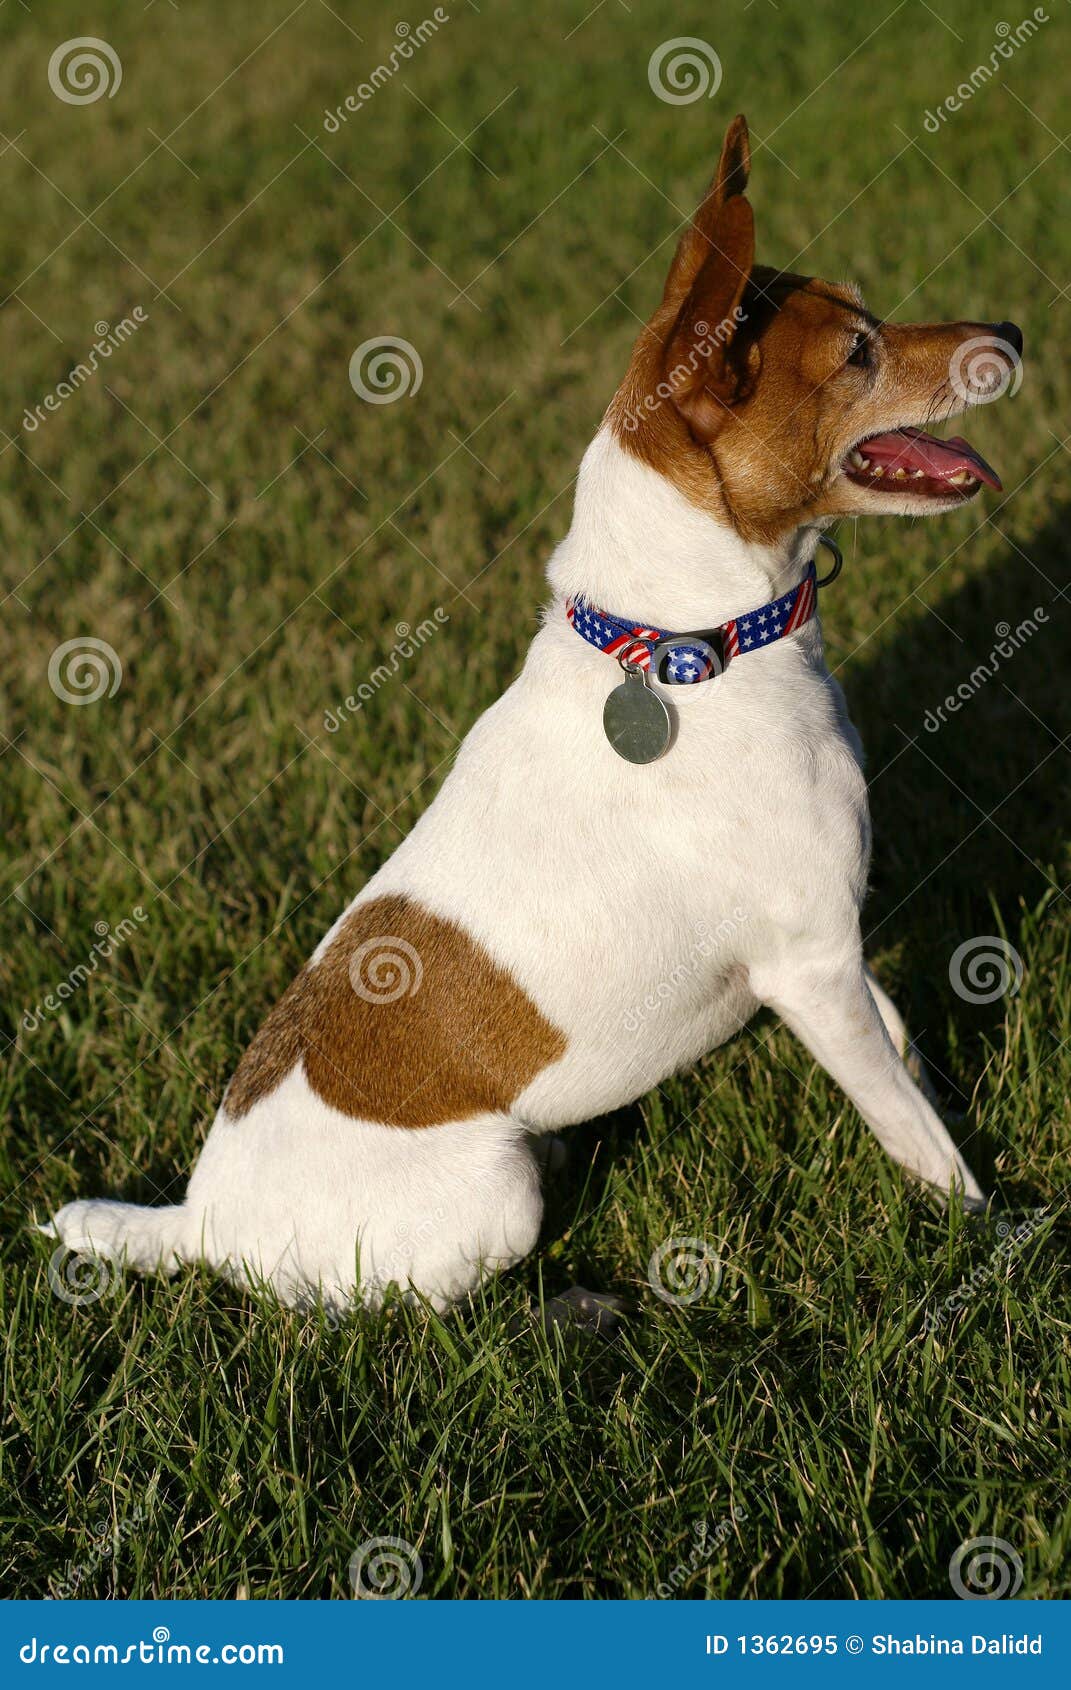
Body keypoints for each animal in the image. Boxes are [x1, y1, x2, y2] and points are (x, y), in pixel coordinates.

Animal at [47, 115, 1020, 1318]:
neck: (692, 647)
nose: (1015, 330)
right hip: (491, 1195)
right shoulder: (811, 966)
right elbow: (913, 1131)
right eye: (857, 352)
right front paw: (990, 1232)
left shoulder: (841, 949)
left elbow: (904, 1048)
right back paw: (575, 1310)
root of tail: (196, 1224)